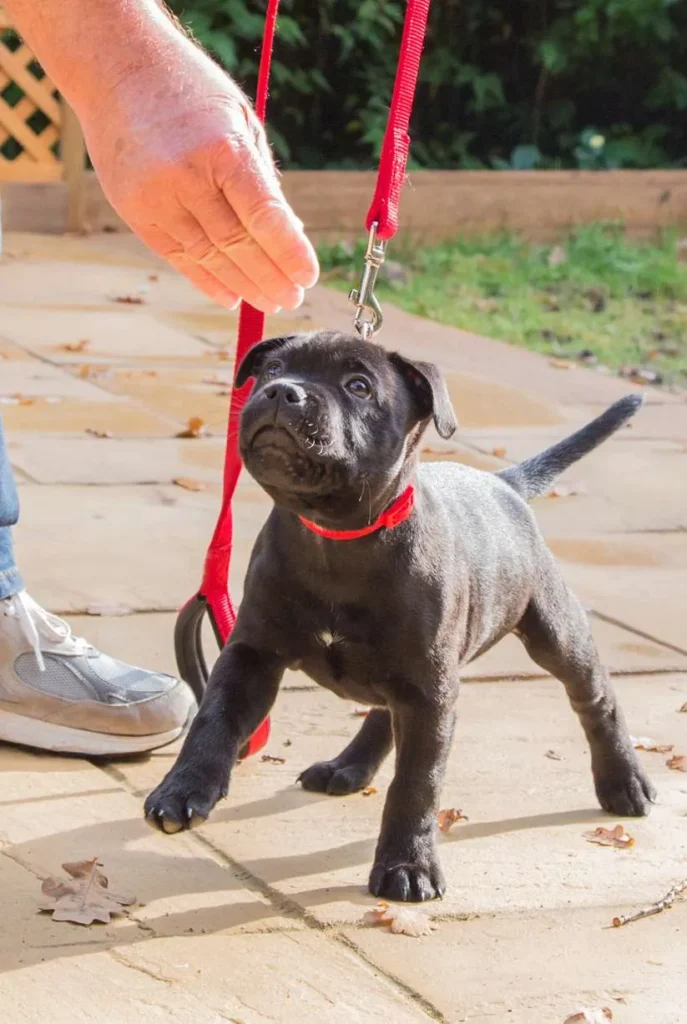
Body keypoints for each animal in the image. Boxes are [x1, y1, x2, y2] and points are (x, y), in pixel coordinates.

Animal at [146, 331, 655, 901]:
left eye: (358, 386)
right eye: (272, 368)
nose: (282, 392)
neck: (336, 536)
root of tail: (504, 484)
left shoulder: (429, 689)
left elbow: (417, 782)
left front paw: (407, 865)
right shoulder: (252, 652)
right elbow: (214, 718)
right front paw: (183, 789)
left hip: (552, 632)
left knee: (595, 698)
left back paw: (624, 782)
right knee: (383, 711)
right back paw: (347, 765)